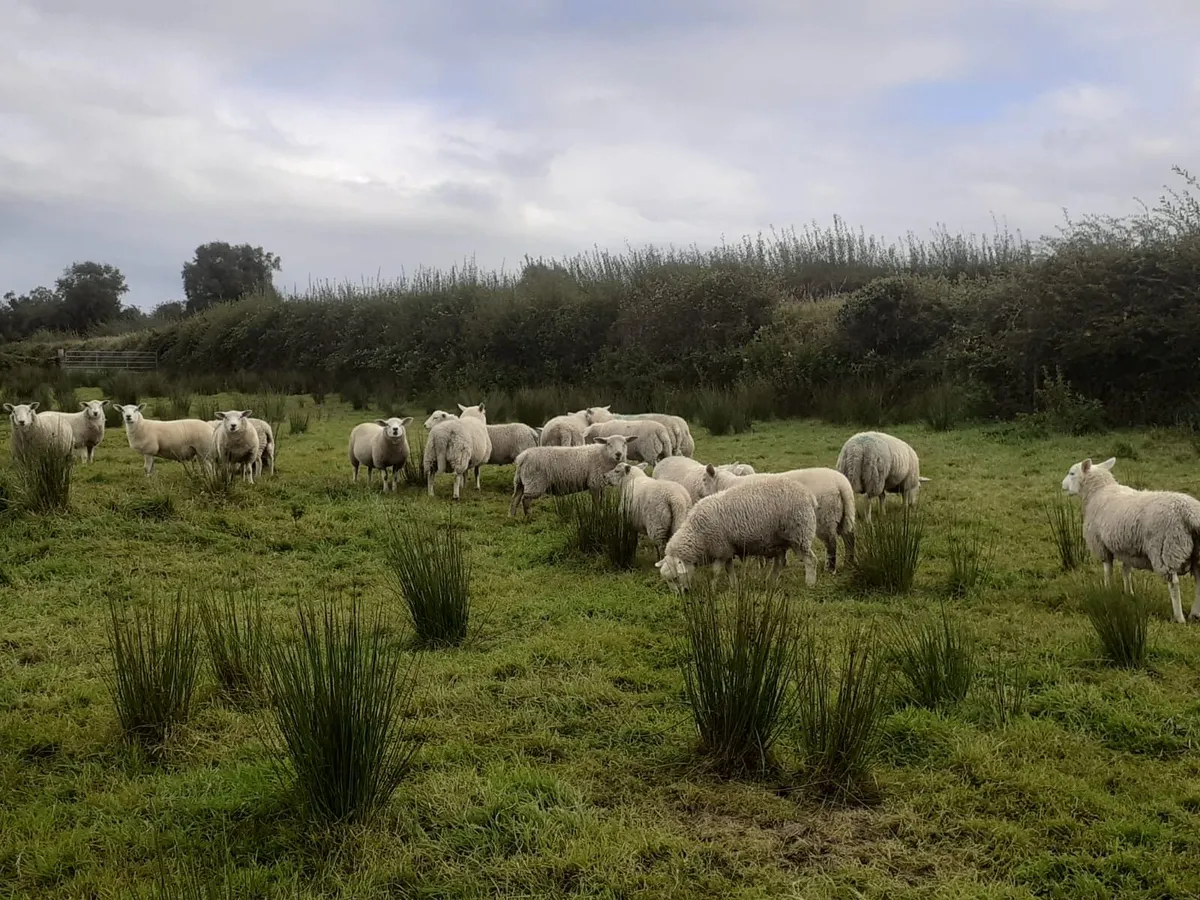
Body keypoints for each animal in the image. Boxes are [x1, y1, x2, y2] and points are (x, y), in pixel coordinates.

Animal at [654, 476, 819, 592]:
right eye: (668, 580)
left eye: (676, 577)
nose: (680, 595)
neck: (697, 534)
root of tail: (809, 495)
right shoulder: (727, 549)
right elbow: (729, 570)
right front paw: (734, 586)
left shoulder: (720, 550)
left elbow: (715, 573)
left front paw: (712, 589)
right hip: (780, 541)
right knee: (780, 562)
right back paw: (770, 581)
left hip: (800, 534)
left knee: (810, 560)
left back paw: (810, 584)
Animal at [705, 467, 856, 572]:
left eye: (704, 480)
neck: (726, 485)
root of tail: (841, 484)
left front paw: (762, 565)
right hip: (844, 516)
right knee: (849, 538)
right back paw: (848, 563)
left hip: (825, 518)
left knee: (831, 544)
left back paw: (830, 569)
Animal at [1062, 456, 1200, 624]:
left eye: (1072, 473)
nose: (1062, 485)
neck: (1098, 491)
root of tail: (1190, 514)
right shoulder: (1126, 546)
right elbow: (1126, 570)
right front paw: (1129, 593)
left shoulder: (1102, 545)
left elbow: (1108, 570)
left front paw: (1108, 591)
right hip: (1196, 552)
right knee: (1199, 580)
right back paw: (1195, 614)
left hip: (1166, 549)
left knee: (1173, 584)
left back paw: (1179, 617)